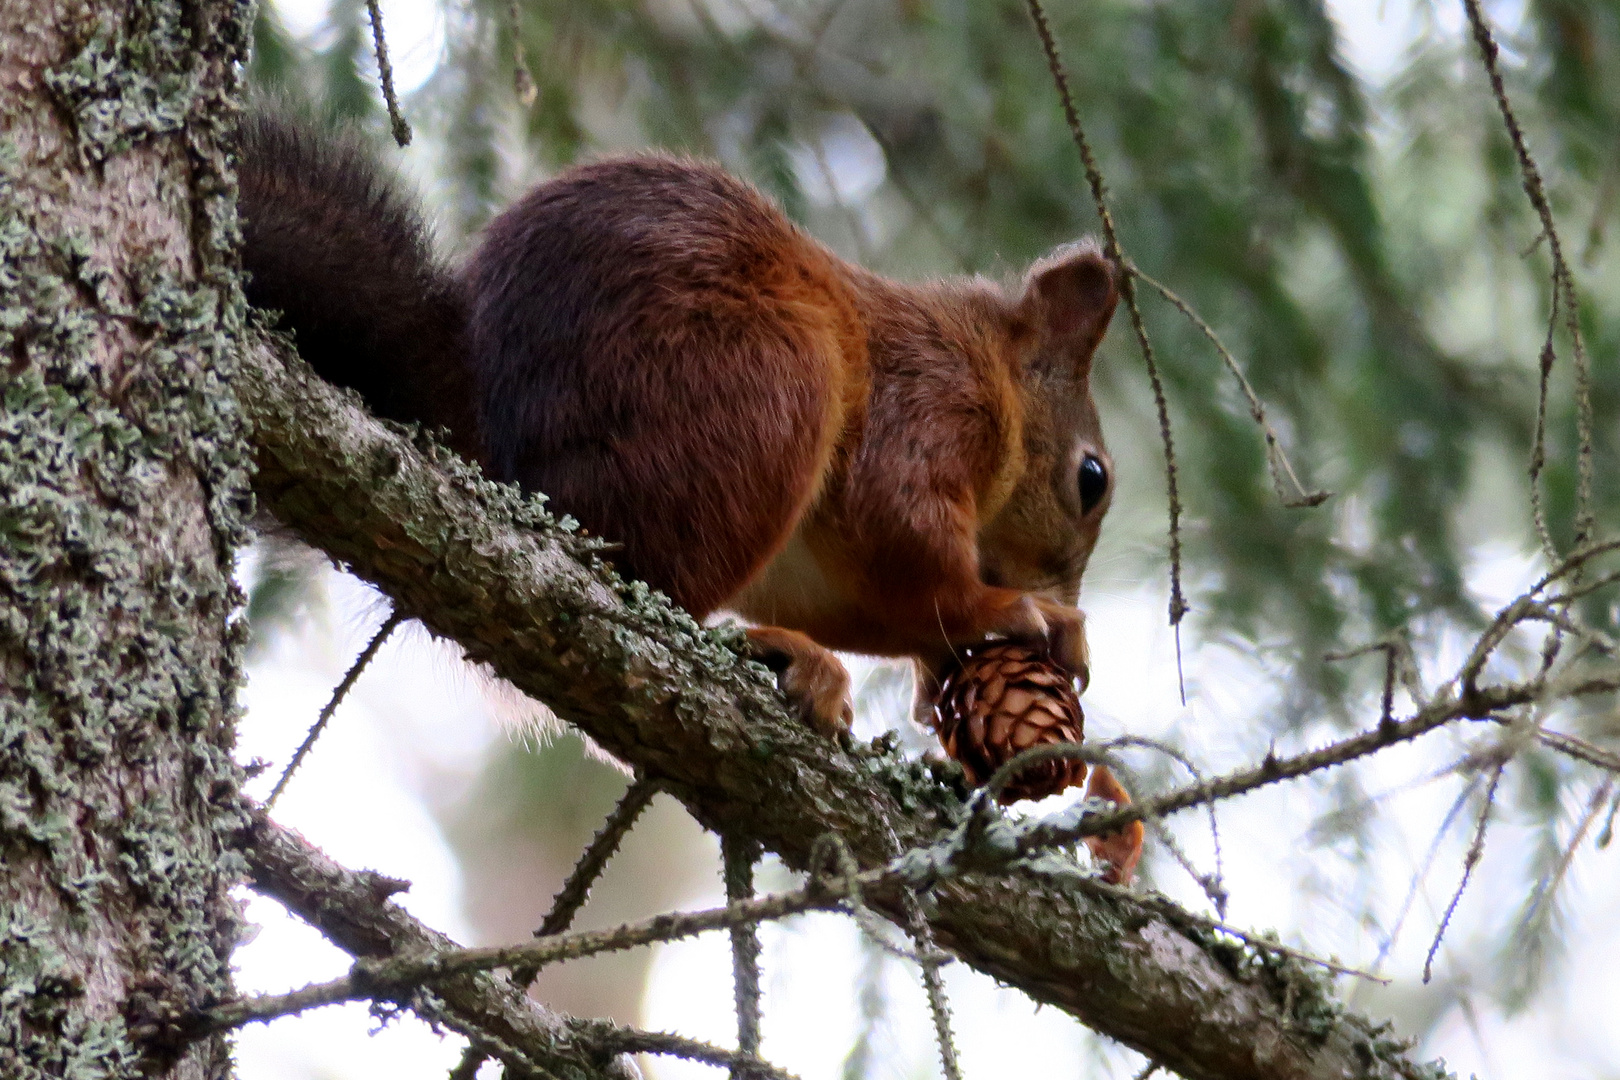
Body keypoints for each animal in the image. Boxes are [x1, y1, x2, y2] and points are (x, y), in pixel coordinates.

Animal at [236, 116, 1114, 744]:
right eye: (1092, 479)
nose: (1063, 592)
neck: (990, 366)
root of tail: (502, 459)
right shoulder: (931, 405)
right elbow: (903, 539)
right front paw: (1013, 611)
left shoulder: (814, 572)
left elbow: (870, 600)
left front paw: (942, 666)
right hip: (761, 388)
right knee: (653, 585)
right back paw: (778, 652)